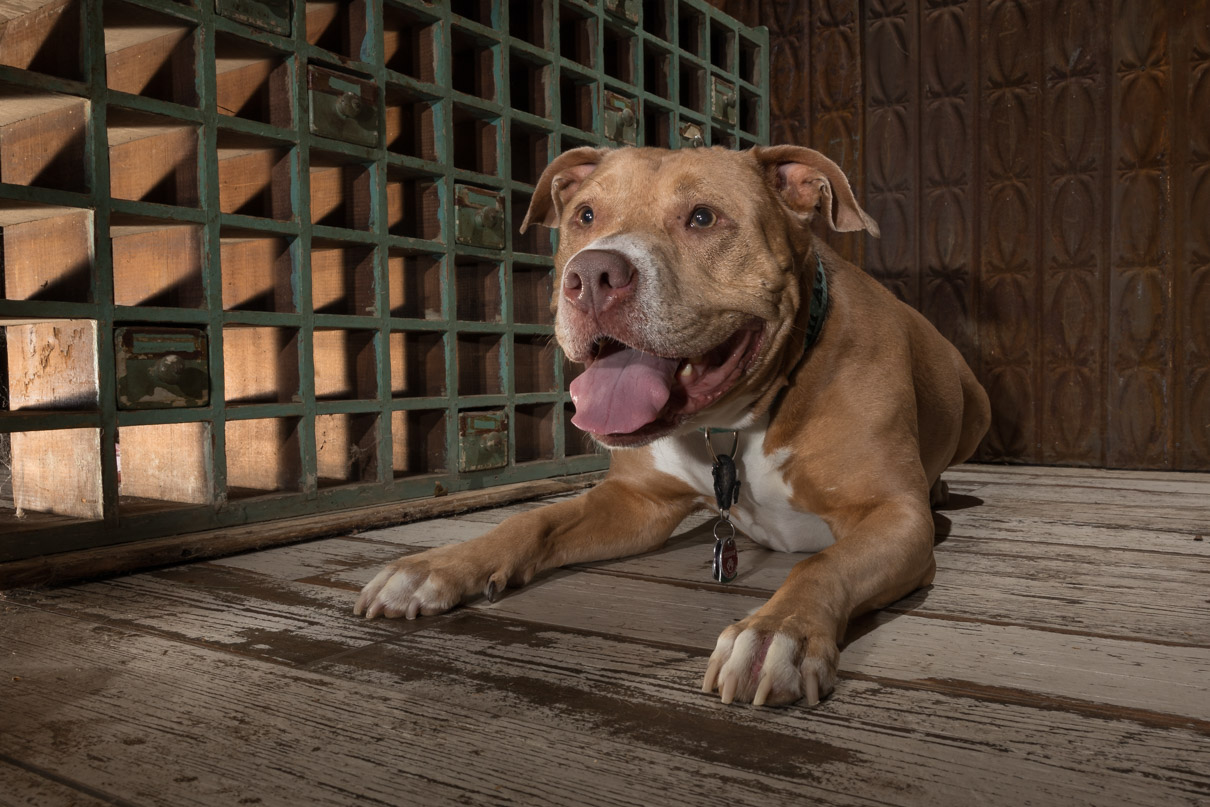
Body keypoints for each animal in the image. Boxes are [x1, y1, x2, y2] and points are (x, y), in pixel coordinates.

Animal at [353, 145, 992, 706]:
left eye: (703, 217)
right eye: (586, 215)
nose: (592, 275)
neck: (737, 422)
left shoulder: (895, 516)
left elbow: (821, 562)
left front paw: (775, 634)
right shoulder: (637, 500)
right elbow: (532, 520)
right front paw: (438, 566)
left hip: (975, 407)